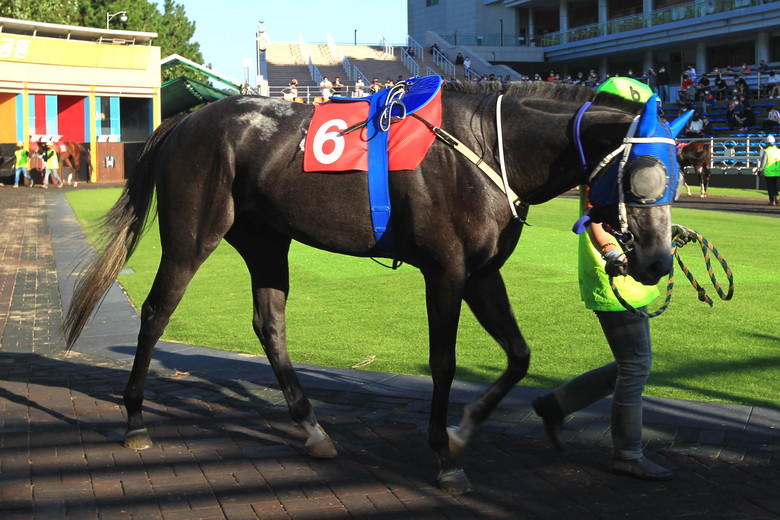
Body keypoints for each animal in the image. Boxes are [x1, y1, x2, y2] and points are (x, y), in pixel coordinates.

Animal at [64, 80, 690, 494]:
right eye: (644, 177)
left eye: (678, 179)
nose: (658, 261)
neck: (487, 146)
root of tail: (187, 119)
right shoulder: (446, 268)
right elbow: (443, 361)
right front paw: (444, 453)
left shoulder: (482, 272)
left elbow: (518, 355)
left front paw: (464, 431)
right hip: (194, 237)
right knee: (155, 311)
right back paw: (135, 419)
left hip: (266, 241)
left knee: (270, 324)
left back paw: (313, 428)